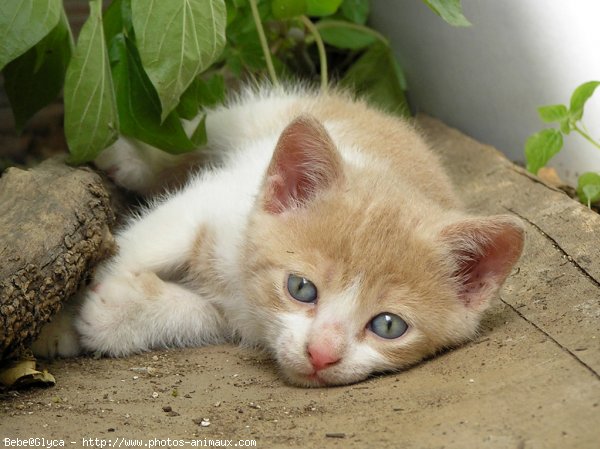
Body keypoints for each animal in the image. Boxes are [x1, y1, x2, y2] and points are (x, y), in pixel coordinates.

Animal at [30, 86, 524, 384]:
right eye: (301, 288)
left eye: (388, 325)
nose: (322, 354)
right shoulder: (207, 203)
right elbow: (138, 246)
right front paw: (56, 321)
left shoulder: (237, 315)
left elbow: (200, 315)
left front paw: (116, 315)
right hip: (261, 113)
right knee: (194, 129)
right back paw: (130, 156)